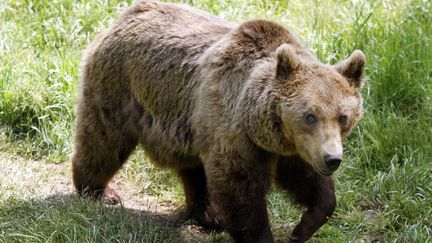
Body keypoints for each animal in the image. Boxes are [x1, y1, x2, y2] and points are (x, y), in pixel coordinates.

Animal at [72, 0, 366, 242]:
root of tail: (126, 14)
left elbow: (310, 183)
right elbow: (239, 188)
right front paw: (262, 235)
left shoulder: (294, 147)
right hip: (120, 86)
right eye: (309, 115)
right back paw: (99, 191)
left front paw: (303, 227)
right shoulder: (234, 129)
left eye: (343, 117)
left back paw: (208, 214)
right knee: (103, 139)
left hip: (188, 122)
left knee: (192, 166)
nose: (332, 159)